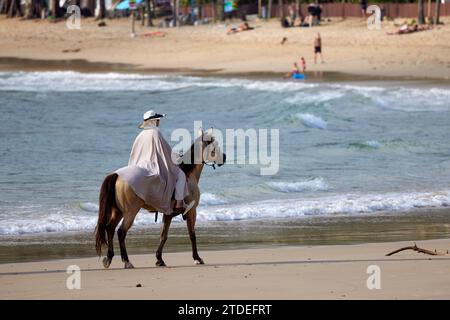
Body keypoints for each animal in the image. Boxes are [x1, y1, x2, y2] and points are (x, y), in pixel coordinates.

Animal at [96, 129, 227, 268]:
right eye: (214, 146)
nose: (224, 157)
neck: (188, 174)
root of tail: (117, 175)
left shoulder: (168, 215)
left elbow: (163, 236)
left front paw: (159, 259)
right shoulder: (192, 212)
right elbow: (192, 235)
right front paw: (197, 258)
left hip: (118, 212)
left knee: (110, 229)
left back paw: (109, 258)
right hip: (130, 213)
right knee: (121, 232)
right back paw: (126, 261)